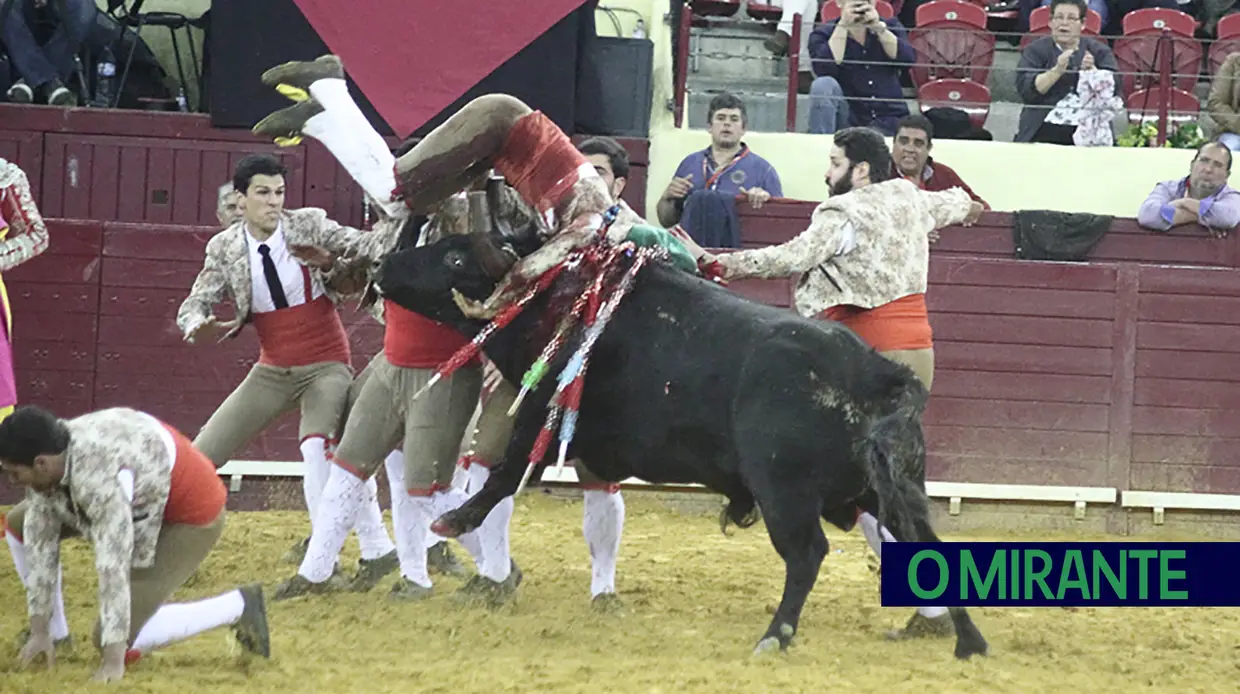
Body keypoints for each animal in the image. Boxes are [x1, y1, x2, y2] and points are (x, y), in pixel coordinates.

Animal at [374, 230, 987, 659]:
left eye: (456, 259)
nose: (383, 265)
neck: (562, 299)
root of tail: (875, 373)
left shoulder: (544, 416)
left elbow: (504, 474)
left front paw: (453, 519)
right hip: (892, 489)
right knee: (926, 545)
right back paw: (969, 641)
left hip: (784, 492)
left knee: (807, 554)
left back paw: (775, 636)